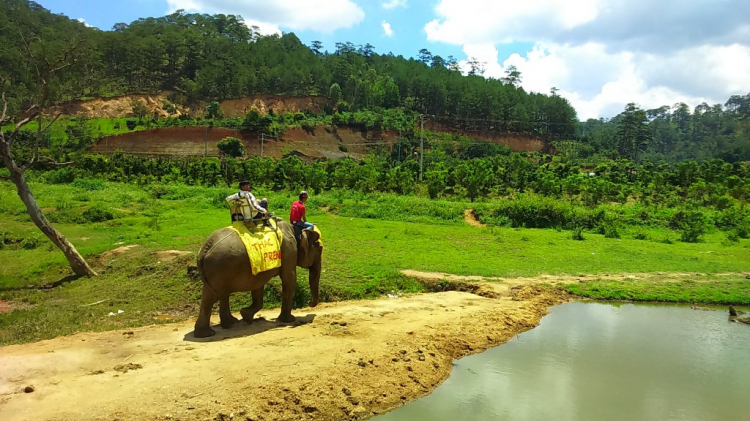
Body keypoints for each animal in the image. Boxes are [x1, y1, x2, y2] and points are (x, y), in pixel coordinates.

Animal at [194, 220, 324, 338]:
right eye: (320, 249)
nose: (309, 303)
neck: (295, 229)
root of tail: (205, 248)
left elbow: (258, 285)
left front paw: (246, 315)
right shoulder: (289, 251)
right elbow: (289, 278)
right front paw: (289, 320)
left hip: (220, 271)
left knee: (220, 294)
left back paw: (229, 324)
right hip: (219, 268)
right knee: (211, 297)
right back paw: (207, 334)